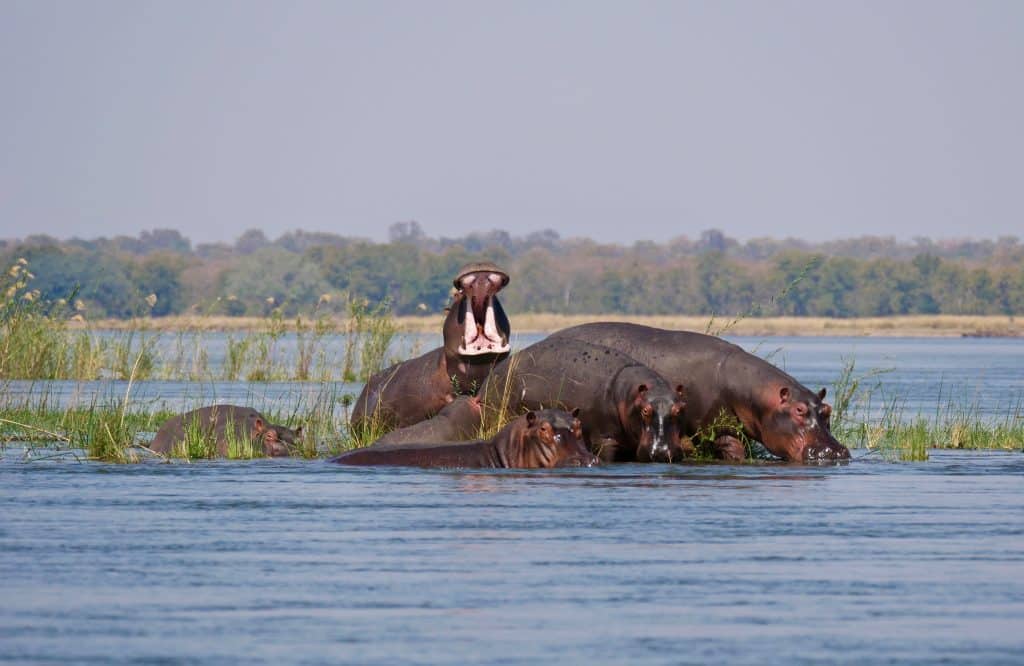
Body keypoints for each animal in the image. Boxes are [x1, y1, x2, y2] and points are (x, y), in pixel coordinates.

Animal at [478, 338, 690, 463]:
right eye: (645, 410)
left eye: (680, 409)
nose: (663, 452)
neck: (628, 395)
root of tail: (489, 379)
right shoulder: (605, 440)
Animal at [547, 322, 848, 463]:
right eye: (799, 410)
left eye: (827, 410)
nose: (834, 452)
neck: (754, 394)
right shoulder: (719, 432)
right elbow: (735, 452)